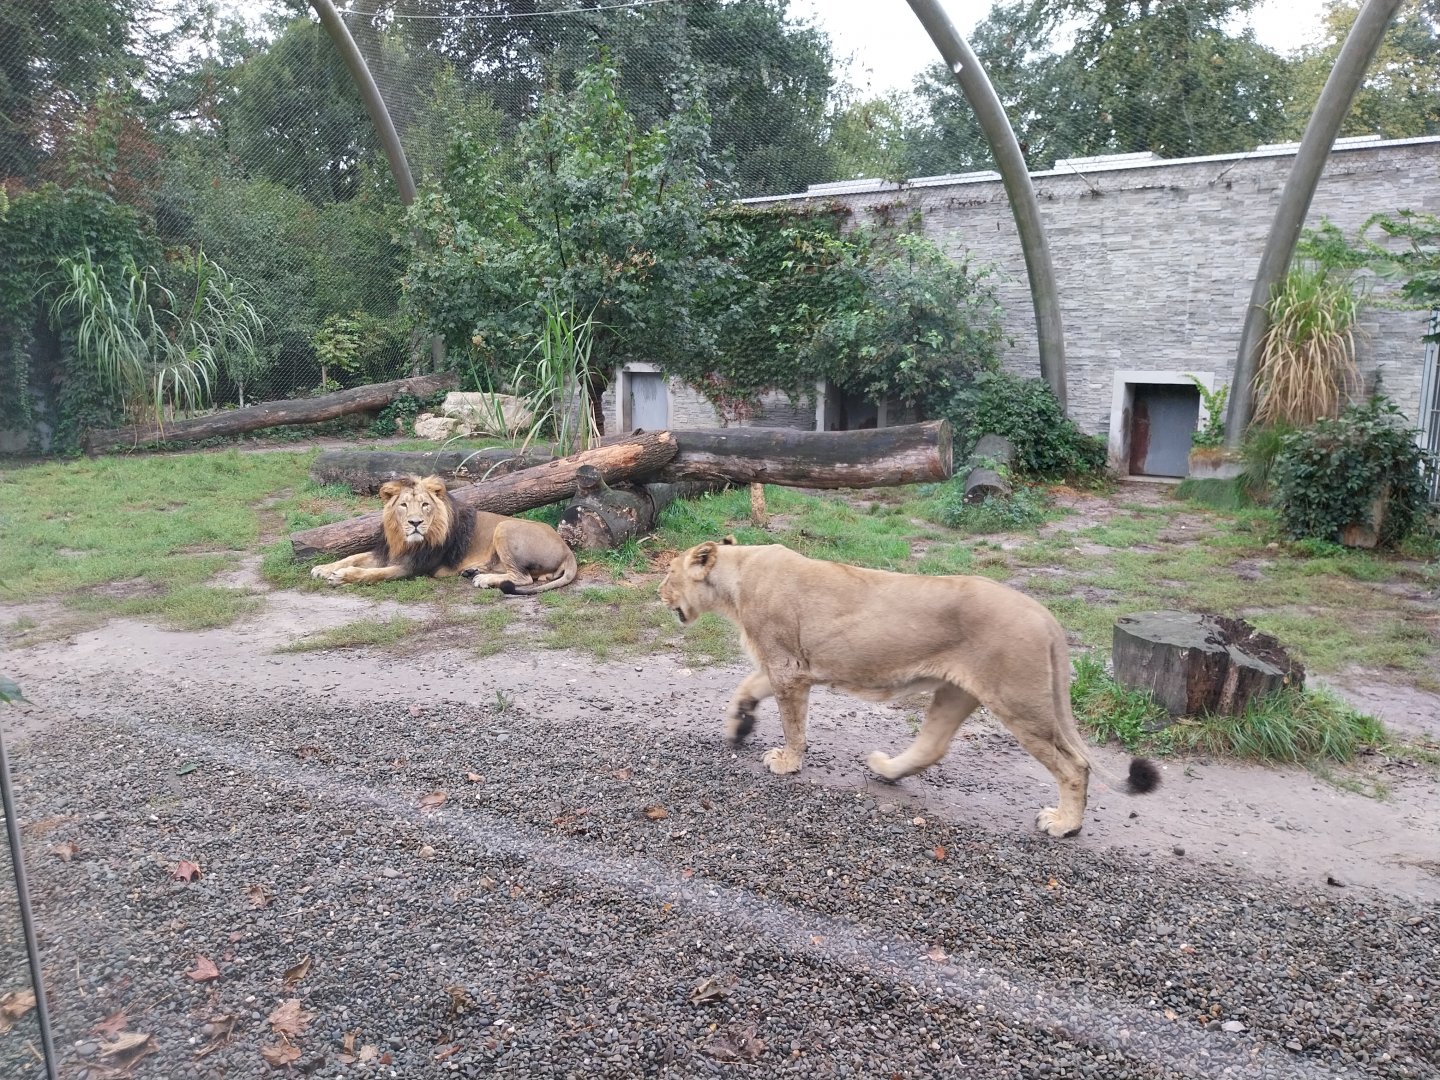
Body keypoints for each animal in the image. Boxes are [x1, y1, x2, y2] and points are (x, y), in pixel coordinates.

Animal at [310, 475, 577, 594]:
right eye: (403, 505)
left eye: (425, 505)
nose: (415, 523)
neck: (404, 541)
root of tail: (567, 550)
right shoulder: (389, 552)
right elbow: (354, 557)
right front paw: (323, 568)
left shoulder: (413, 567)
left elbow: (374, 574)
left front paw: (342, 576)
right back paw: (473, 571)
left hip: (505, 527)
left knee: (524, 578)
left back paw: (483, 579)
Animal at [659, 537, 1158, 837]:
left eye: (668, 573)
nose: (658, 594)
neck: (737, 578)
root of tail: (1046, 616)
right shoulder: (782, 665)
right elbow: (745, 687)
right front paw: (739, 726)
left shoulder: (787, 667)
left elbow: (793, 723)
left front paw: (787, 761)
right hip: (958, 693)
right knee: (932, 746)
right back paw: (886, 769)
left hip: (1019, 701)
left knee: (1075, 766)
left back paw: (1064, 823)